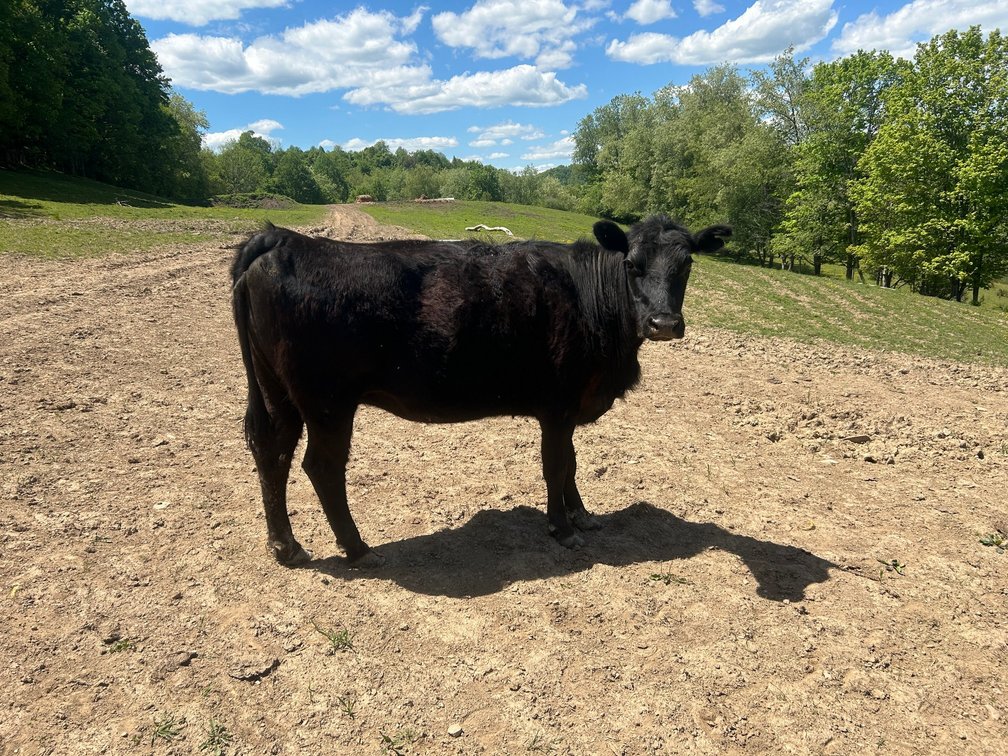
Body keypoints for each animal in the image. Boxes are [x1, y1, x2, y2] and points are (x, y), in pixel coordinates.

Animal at [231, 216, 731, 566]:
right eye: (631, 264)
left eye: (688, 263)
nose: (663, 323)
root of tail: (284, 239)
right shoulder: (557, 405)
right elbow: (556, 466)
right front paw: (562, 528)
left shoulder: (567, 409)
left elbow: (570, 464)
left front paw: (583, 515)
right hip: (328, 402)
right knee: (322, 467)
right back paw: (358, 549)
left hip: (278, 394)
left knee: (272, 453)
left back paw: (287, 546)